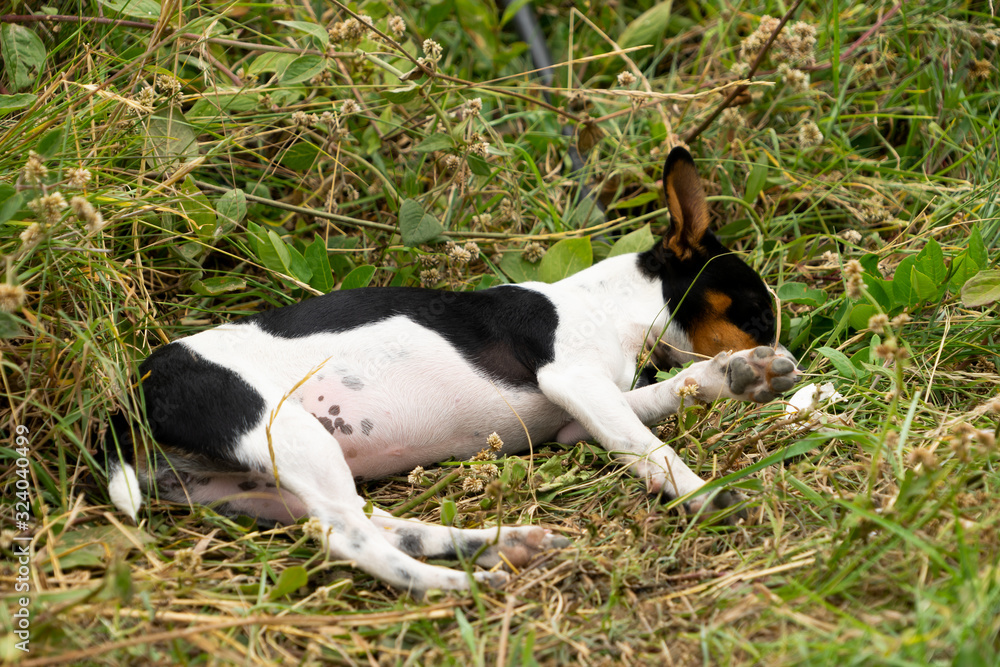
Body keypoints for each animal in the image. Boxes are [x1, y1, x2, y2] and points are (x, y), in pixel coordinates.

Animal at [107, 149, 796, 592]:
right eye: (759, 311)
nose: (774, 342)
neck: (609, 304)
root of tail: (134, 397)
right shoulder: (572, 380)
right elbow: (653, 449)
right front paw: (707, 493)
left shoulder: (579, 416)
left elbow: (664, 398)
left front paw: (738, 376)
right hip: (286, 433)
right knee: (349, 540)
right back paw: (459, 583)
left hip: (254, 484)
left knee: (379, 527)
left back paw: (495, 545)